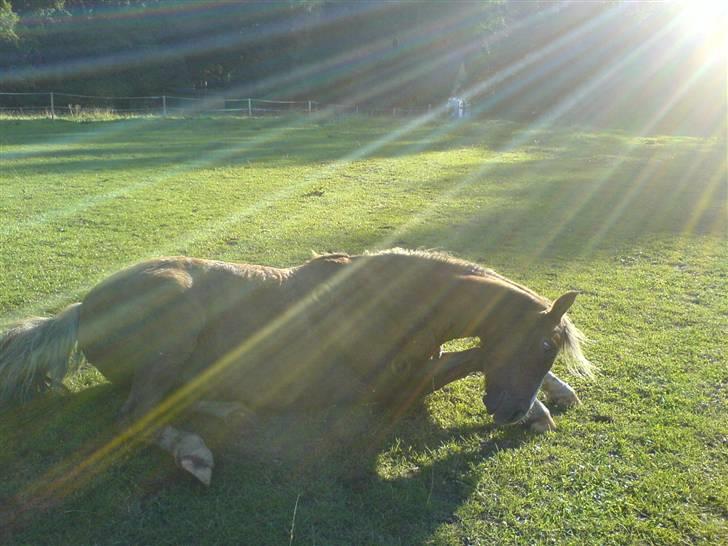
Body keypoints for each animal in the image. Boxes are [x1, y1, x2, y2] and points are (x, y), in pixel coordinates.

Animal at [0, 249, 592, 482]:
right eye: (542, 344)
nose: (510, 412)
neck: (394, 301)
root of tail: (82, 309)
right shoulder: (397, 386)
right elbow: (472, 357)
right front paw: (543, 410)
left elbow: (471, 357)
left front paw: (556, 395)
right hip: (175, 324)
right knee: (133, 418)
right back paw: (195, 453)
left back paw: (228, 411)